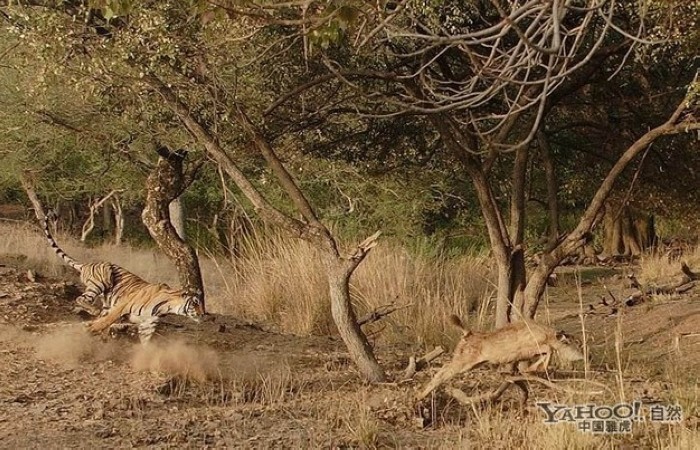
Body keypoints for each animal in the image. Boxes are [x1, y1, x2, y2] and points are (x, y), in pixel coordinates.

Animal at [41, 216, 204, 342]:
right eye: (195, 303)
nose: (203, 314)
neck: (168, 307)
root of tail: (87, 264)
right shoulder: (122, 307)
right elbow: (105, 322)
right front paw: (91, 330)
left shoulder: (147, 326)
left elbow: (146, 344)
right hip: (102, 279)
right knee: (81, 299)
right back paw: (93, 313)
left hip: (106, 301)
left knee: (97, 312)